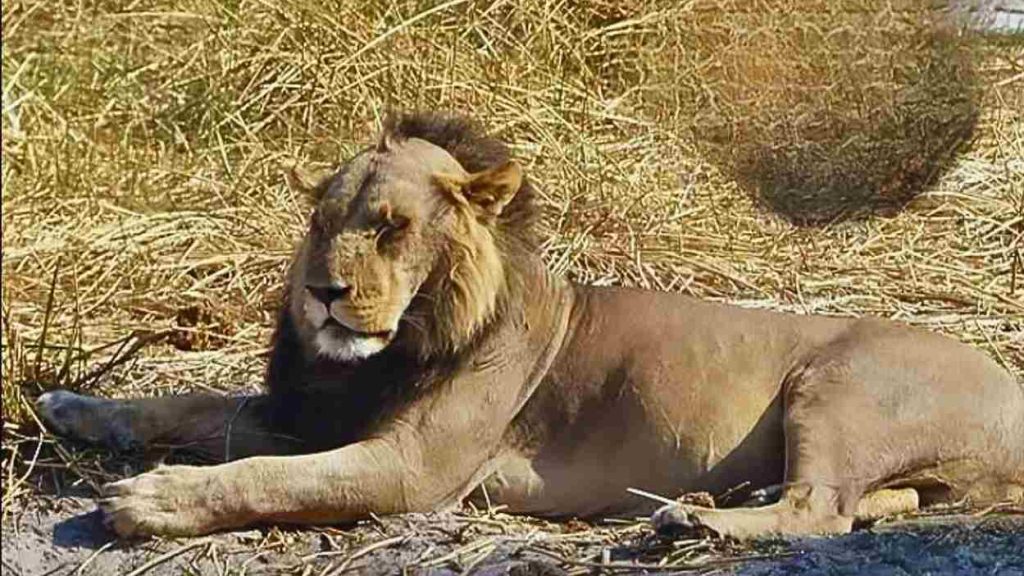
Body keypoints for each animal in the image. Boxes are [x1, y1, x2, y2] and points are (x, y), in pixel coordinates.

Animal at [38, 112, 1024, 540]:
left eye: (391, 227)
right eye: (322, 222)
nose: (322, 293)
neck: (389, 350)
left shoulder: (412, 469)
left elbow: (267, 477)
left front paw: (150, 500)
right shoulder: (312, 410)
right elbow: (194, 402)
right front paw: (77, 408)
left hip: (834, 383)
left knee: (822, 512)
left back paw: (696, 525)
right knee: (870, 503)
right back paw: (713, 505)